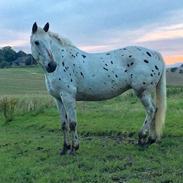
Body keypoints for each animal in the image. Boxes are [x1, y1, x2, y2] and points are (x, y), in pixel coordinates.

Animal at [30, 22, 167, 155]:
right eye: (36, 42)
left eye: (48, 42)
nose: (52, 65)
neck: (62, 61)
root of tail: (155, 54)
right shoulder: (58, 99)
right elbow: (64, 124)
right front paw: (64, 148)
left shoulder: (68, 97)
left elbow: (72, 123)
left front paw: (74, 148)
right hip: (148, 92)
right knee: (155, 110)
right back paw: (150, 140)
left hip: (142, 92)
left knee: (151, 110)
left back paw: (141, 138)